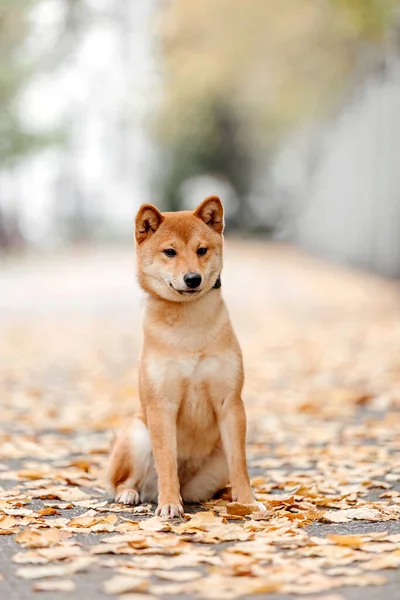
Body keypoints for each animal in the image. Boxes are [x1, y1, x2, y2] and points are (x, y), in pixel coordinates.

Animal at [108, 196, 262, 516]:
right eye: (170, 252)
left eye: (201, 250)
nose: (192, 278)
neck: (188, 325)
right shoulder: (161, 405)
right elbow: (166, 461)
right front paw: (169, 504)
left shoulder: (230, 402)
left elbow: (240, 465)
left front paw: (248, 502)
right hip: (138, 435)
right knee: (123, 481)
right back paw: (131, 494)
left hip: (214, 467)